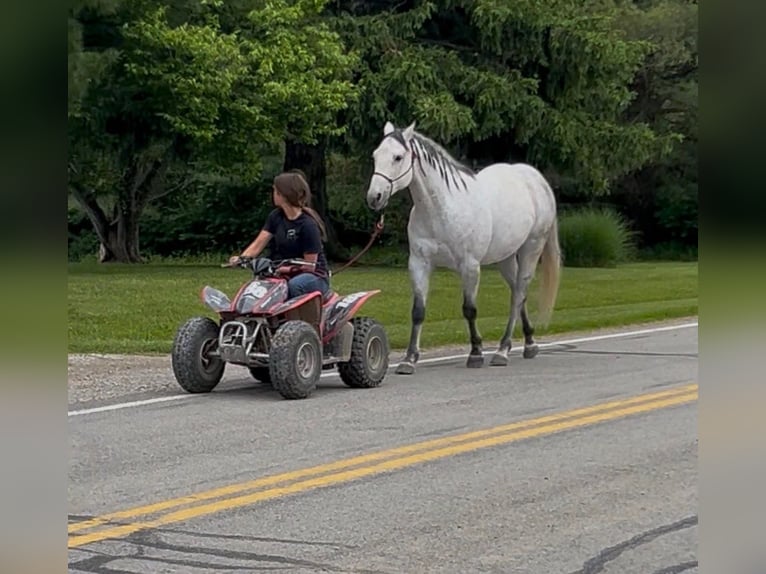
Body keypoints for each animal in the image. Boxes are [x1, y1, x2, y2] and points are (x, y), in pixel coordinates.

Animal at [365, 120, 562, 375]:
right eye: (375, 155)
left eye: (398, 157)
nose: (375, 197)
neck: (441, 208)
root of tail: (535, 180)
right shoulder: (419, 263)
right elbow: (418, 311)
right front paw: (409, 359)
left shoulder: (469, 266)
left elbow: (469, 309)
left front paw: (476, 353)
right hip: (506, 258)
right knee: (519, 294)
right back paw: (529, 343)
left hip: (531, 249)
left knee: (518, 296)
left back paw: (502, 350)